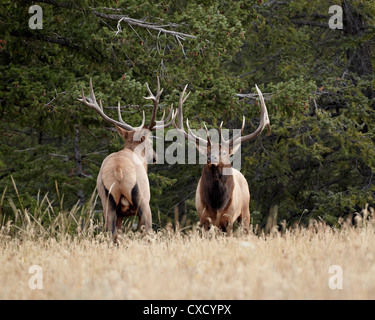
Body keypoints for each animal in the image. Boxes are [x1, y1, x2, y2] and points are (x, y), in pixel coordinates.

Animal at [80, 78, 174, 242]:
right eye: (150, 142)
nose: (155, 157)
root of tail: (118, 171)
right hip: (143, 202)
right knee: (147, 232)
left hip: (107, 203)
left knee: (112, 235)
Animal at [173, 85, 270, 235]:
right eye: (207, 152)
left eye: (224, 152)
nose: (211, 158)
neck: (217, 204)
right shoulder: (204, 218)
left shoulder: (228, 219)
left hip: (245, 212)